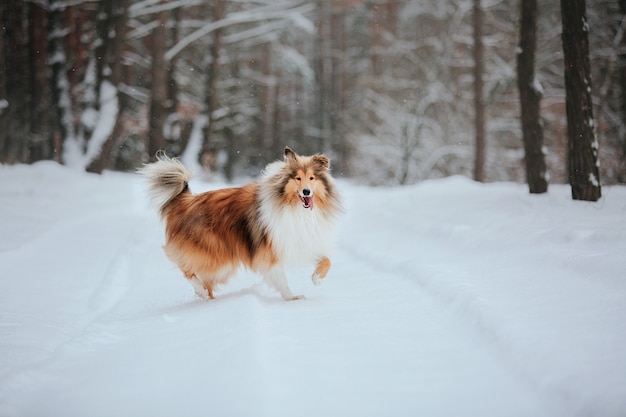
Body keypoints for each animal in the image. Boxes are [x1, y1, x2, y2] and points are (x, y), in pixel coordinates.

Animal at [139, 146, 342, 300]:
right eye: (297, 178)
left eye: (312, 178)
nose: (306, 192)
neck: (294, 208)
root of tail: (187, 201)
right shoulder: (270, 251)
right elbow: (281, 278)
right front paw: (292, 298)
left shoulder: (299, 241)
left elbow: (327, 260)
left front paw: (317, 278)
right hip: (217, 255)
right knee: (189, 270)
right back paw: (200, 291)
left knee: (205, 280)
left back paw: (206, 297)